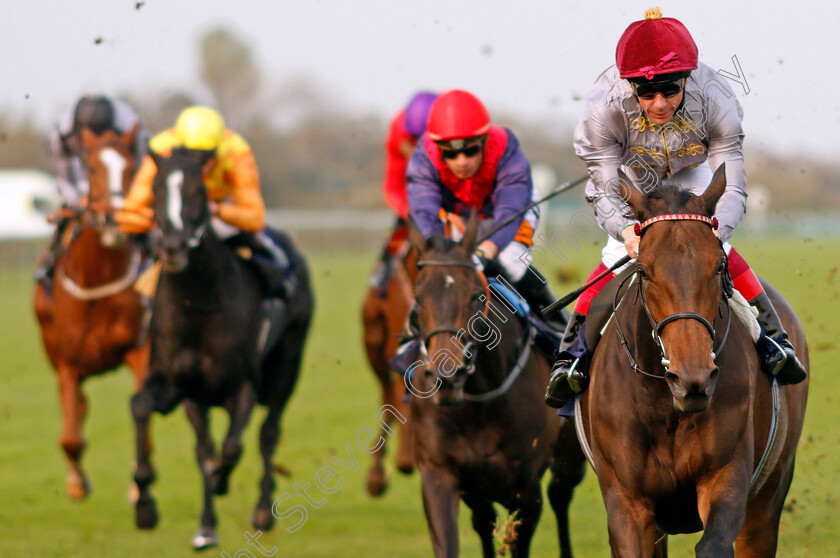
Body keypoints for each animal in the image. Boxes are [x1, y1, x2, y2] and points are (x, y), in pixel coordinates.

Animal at [33, 127, 148, 504]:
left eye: (131, 166)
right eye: (91, 166)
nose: (113, 220)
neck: (99, 276)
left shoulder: (140, 350)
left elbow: (142, 417)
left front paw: (138, 486)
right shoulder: (68, 363)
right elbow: (70, 437)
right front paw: (77, 484)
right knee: (76, 410)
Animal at [130, 148, 314, 552]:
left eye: (199, 192)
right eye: (155, 189)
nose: (172, 248)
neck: (198, 304)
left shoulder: (242, 386)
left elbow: (232, 448)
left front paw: (222, 481)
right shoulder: (177, 384)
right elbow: (142, 409)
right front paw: (146, 505)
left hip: (287, 366)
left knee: (267, 434)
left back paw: (262, 511)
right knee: (205, 447)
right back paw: (207, 525)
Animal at [406, 215, 584, 558]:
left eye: (476, 295)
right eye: (418, 299)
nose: (447, 377)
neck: (479, 404)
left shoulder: (526, 492)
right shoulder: (439, 474)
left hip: (569, 460)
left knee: (561, 497)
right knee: (483, 519)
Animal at [580, 167, 812, 558]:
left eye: (719, 266)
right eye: (643, 270)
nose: (693, 379)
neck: (665, 408)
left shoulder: (725, 476)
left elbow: (713, 544)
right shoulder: (628, 504)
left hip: (768, 498)